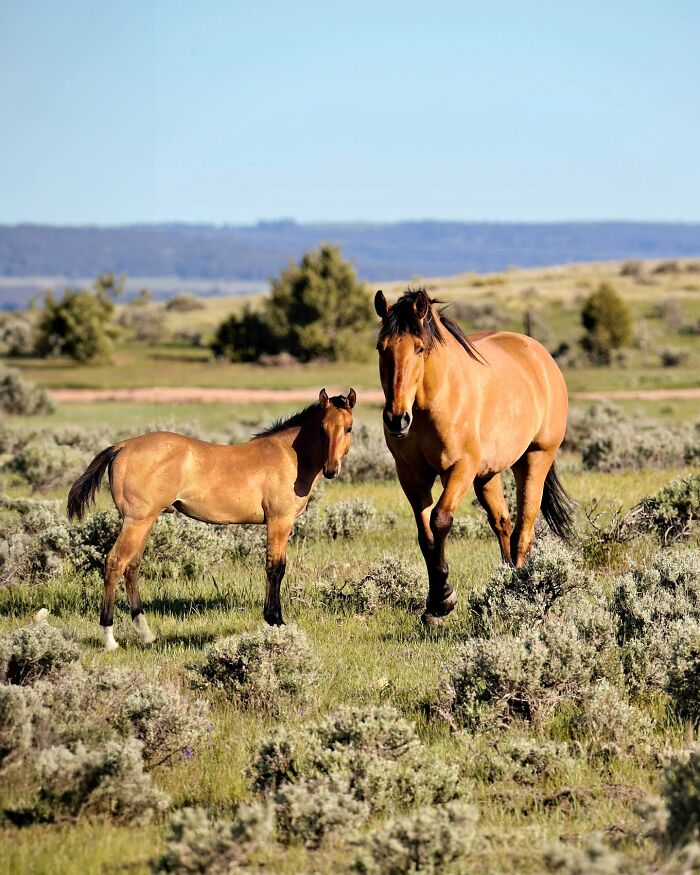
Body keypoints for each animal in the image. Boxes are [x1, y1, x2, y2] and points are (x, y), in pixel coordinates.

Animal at [66, 390, 356, 652]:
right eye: (322, 428)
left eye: (349, 428)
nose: (331, 470)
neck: (289, 456)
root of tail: (124, 445)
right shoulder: (279, 522)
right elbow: (276, 568)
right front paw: (276, 622)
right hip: (137, 520)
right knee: (115, 563)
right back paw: (109, 639)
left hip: (143, 522)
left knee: (132, 566)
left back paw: (146, 634)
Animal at [374, 290, 572, 628]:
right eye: (381, 348)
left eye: (419, 348)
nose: (397, 419)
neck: (433, 401)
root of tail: (540, 354)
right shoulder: (412, 475)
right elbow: (426, 534)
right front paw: (434, 604)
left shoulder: (460, 468)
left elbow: (440, 520)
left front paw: (443, 599)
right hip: (487, 475)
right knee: (503, 523)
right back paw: (507, 581)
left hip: (534, 459)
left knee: (524, 530)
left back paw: (520, 590)